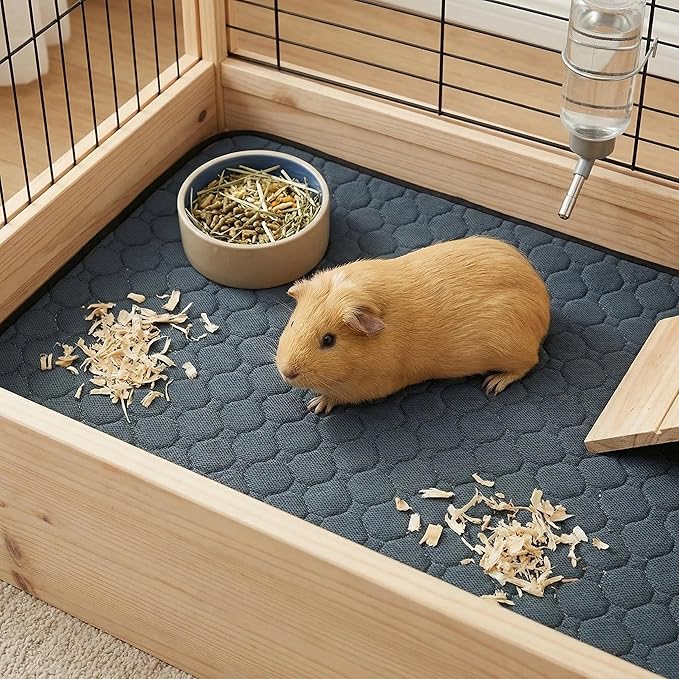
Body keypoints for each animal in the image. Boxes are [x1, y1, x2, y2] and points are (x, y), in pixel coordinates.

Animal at [275, 236, 550, 414]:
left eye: (328, 340)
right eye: (292, 322)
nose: (287, 372)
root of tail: (543, 307)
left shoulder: (371, 386)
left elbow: (338, 395)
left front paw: (316, 405)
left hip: (512, 352)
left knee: (528, 364)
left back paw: (493, 384)